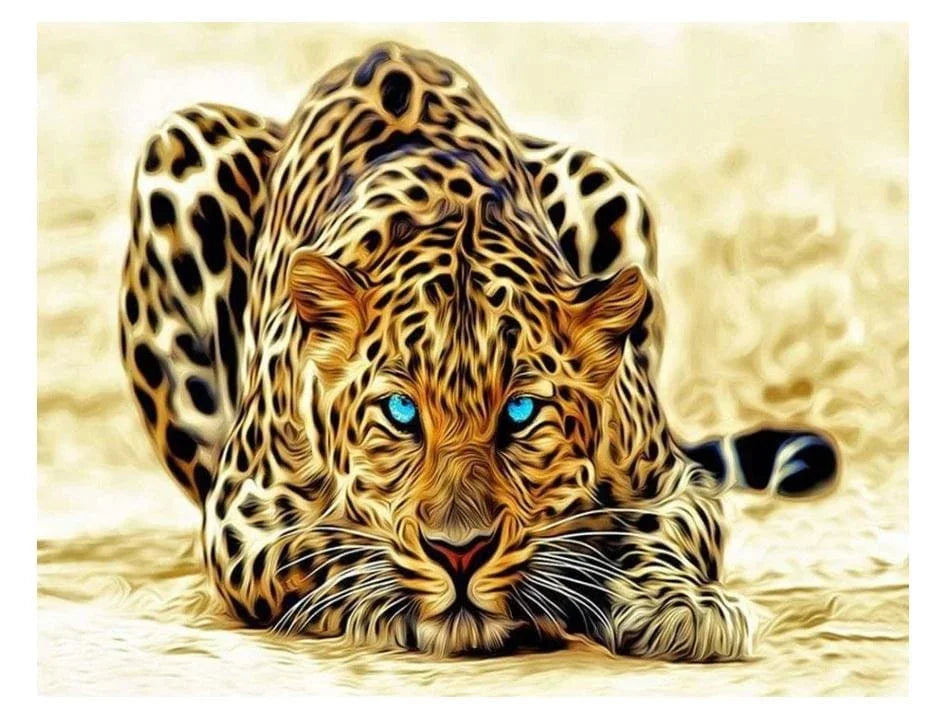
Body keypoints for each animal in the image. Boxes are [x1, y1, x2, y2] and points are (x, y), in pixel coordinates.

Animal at [118, 42, 839, 660]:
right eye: (401, 413)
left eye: (520, 413)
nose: (459, 553)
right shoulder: (243, 513)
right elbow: (325, 548)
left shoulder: (672, 481)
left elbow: (663, 534)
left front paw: (681, 605)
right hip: (181, 146)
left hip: (605, 183)